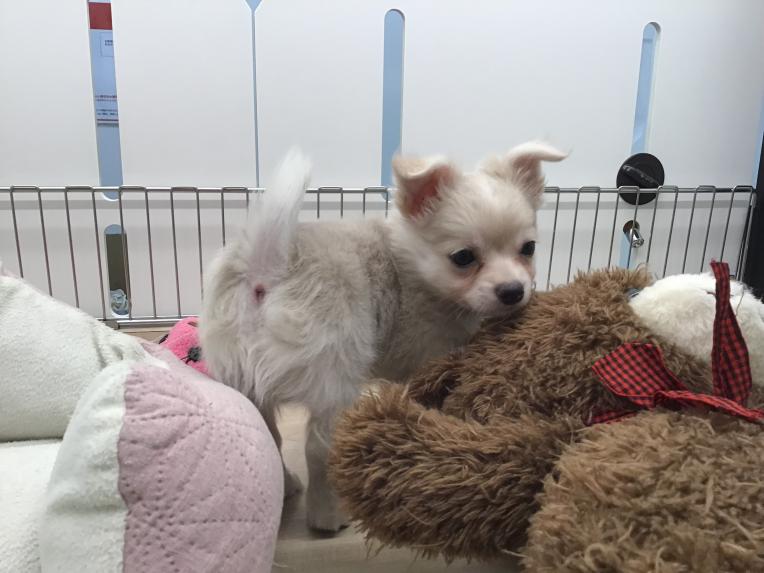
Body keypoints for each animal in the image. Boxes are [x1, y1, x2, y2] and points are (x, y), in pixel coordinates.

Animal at [200, 142, 566, 531]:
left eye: (528, 249)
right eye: (463, 258)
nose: (513, 291)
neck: (413, 267)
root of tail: (267, 268)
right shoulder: (427, 356)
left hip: (242, 379)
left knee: (266, 433)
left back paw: (286, 486)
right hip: (335, 380)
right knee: (318, 447)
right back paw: (329, 515)